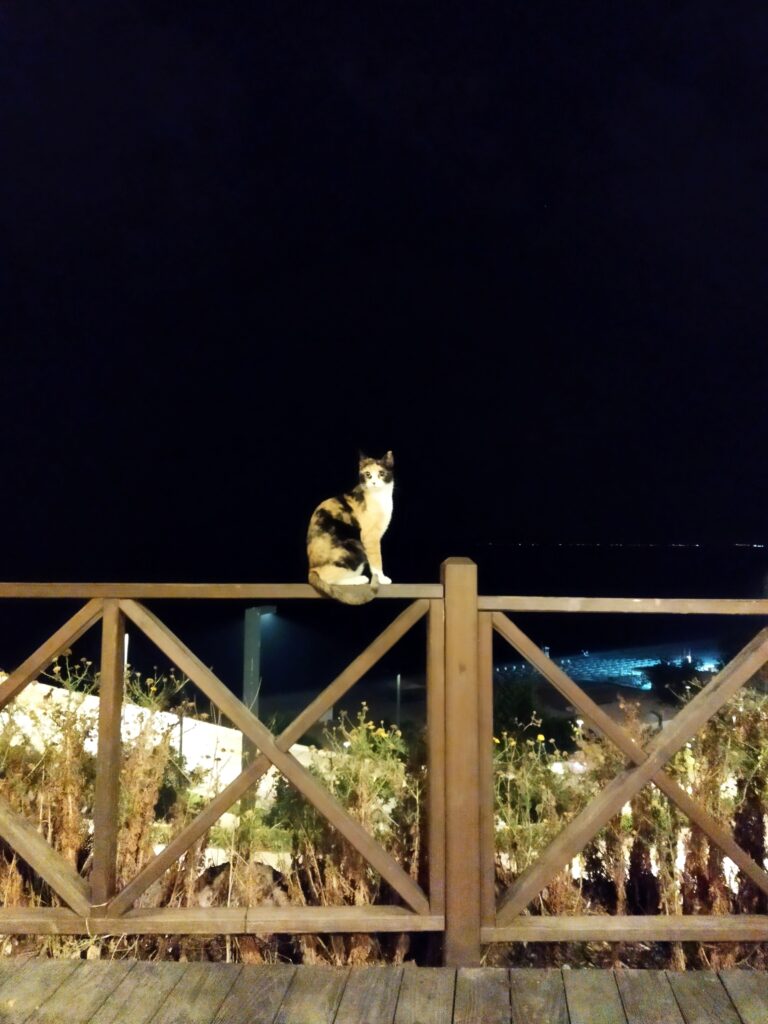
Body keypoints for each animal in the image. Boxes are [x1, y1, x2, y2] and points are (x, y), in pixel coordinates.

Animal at [307, 452, 394, 605]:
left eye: (382, 473)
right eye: (368, 475)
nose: (373, 482)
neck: (380, 497)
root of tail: (311, 569)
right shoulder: (370, 537)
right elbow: (377, 559)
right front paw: (382, 578)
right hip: (354, 546)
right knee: (327, 578)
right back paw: (360, 579)